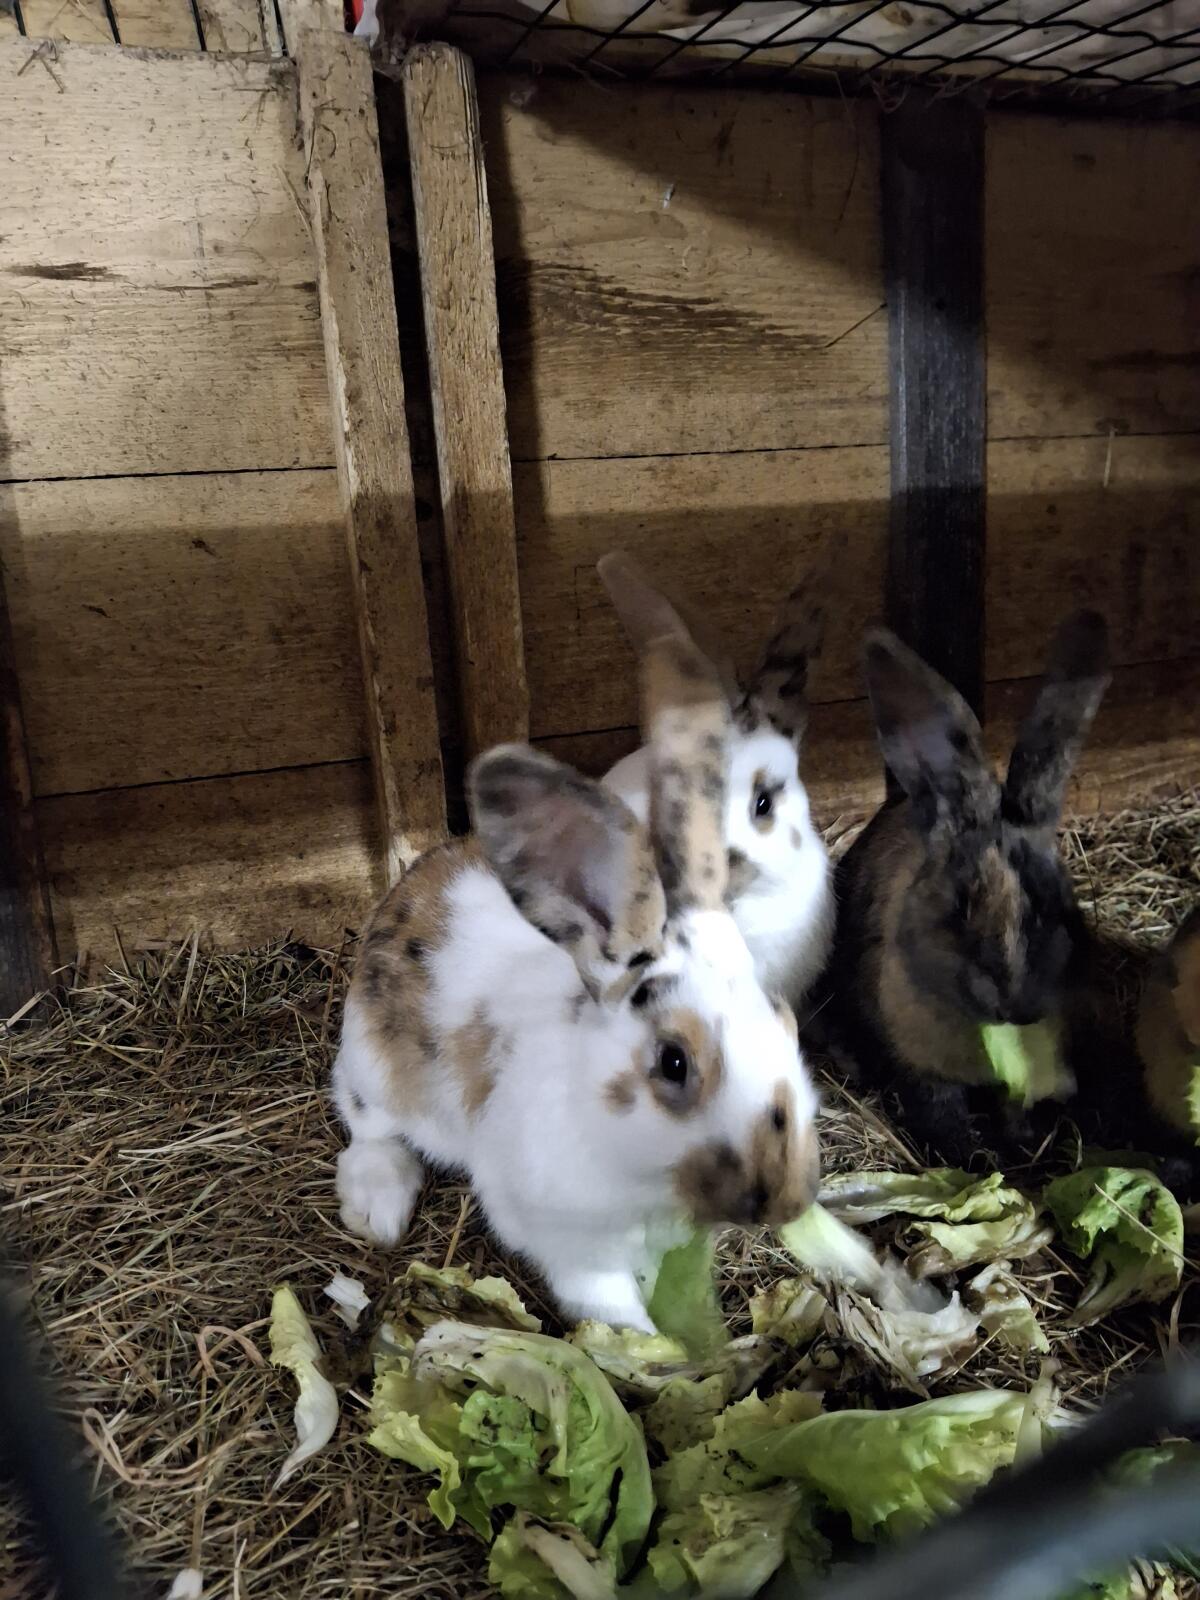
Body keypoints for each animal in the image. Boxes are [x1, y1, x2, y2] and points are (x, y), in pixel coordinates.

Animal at [332, 631, 821, 1332]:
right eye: (674, 1062)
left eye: (785, 1020)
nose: (791, 1196)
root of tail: (409, 889)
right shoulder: (565, 1244)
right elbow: (605, 1301)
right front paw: (649, 1348)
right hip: (374, 1067)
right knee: (361, 1119)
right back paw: (380, 1205)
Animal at [828, 611, 1112, 1167]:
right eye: (958, 910)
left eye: (1062, 906)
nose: (1017, 1005)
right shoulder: (922, 1072)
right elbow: (942, 1115)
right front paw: (974, 1159)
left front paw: (1021, 1143)